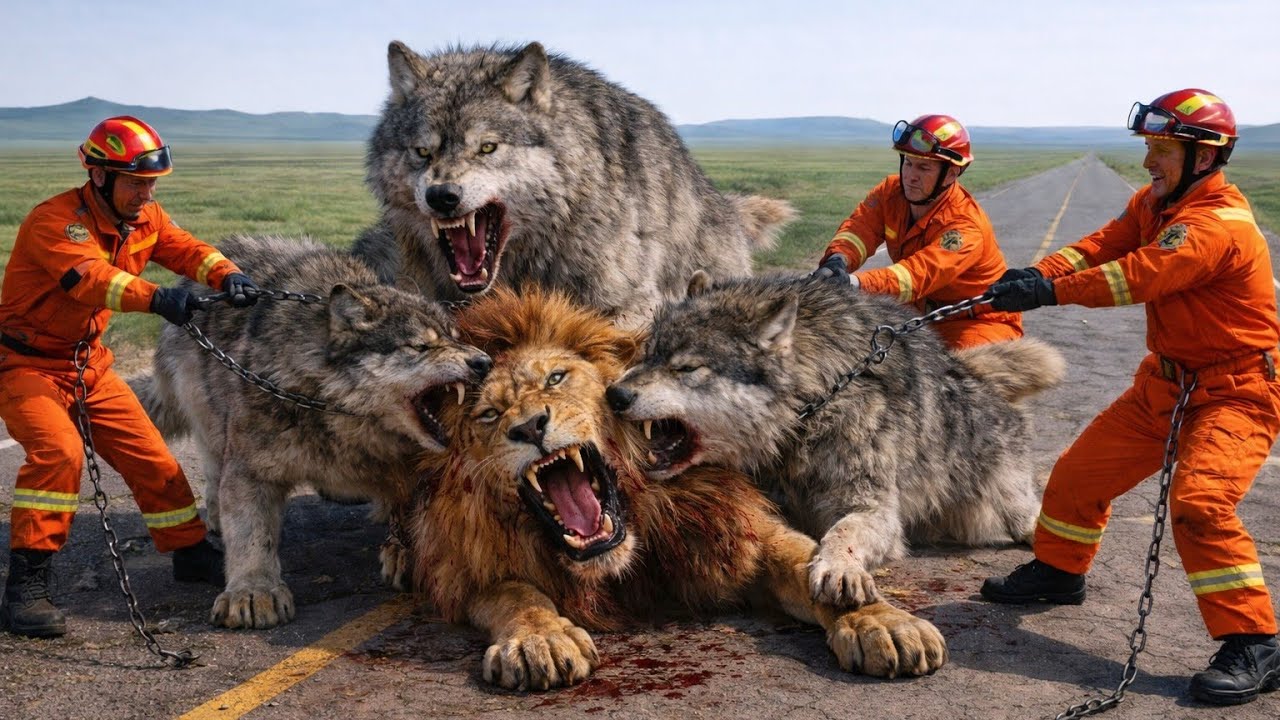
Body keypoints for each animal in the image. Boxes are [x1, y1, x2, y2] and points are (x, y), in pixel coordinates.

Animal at [132, 234, 491, 629]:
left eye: (457, 338)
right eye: (420, 346)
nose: (484, 362)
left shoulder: (410, 468)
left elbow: (410, 511)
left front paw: (405, 553)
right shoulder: (250, 467)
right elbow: (251, 532)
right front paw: (253, 591)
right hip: (209, 414)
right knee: (213, 469)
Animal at [409, 286, 946, 691]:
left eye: (556, 378)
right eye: (489, 414)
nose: (530, 426)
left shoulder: (744, 532)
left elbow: (808, 562)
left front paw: (880, 621)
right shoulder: (470, 564)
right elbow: (516, 594)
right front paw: (539, 640)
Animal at [606, 273, 1065, 608]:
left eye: (686, 368)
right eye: (646, 355)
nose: (614, 395)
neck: (812, 409)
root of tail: (978, 379)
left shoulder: (873, 508)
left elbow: (843, 532)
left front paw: (838, 568)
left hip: (1014, 511)